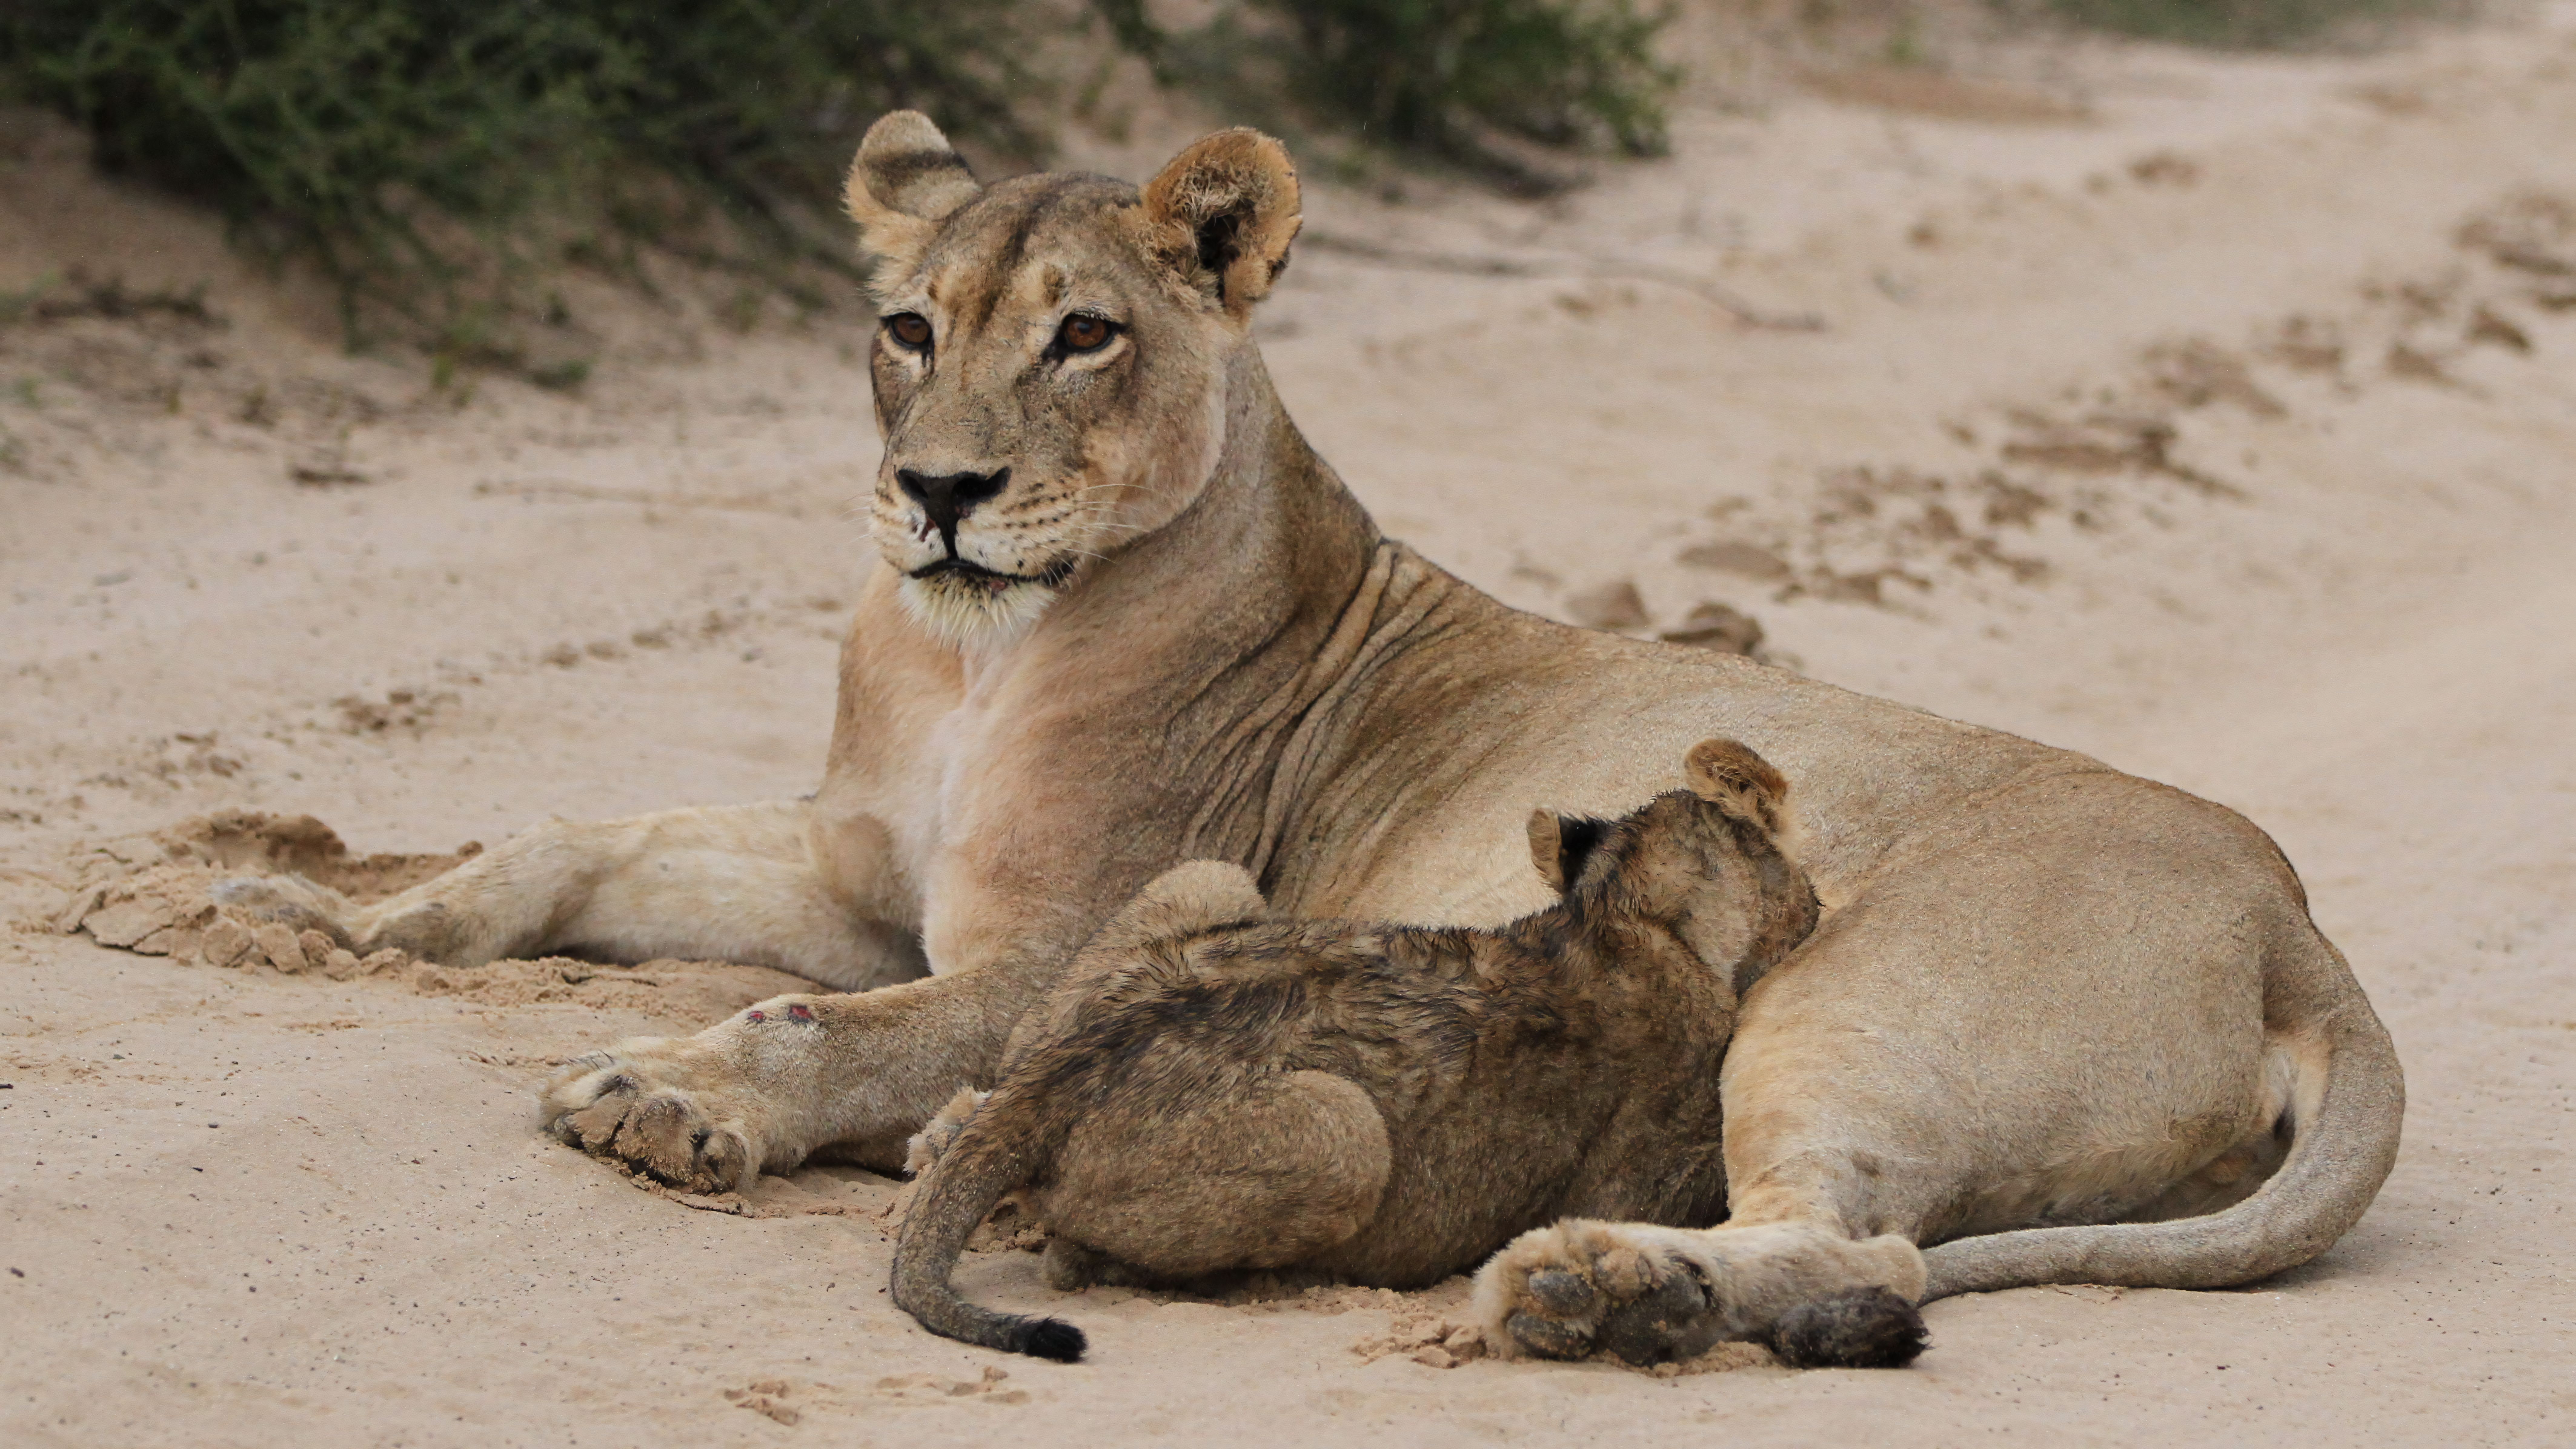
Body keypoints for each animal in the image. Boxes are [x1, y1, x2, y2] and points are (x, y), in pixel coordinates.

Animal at [889, 739, 1899, 1365]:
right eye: (1807, 884)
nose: (1823, 904)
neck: (1626, 918)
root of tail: (1049, 1084)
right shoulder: (1642, 1177)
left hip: (1209, 882)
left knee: (981, 1098)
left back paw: (945, 1135)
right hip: (1344, 1133)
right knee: (1071, 1256)